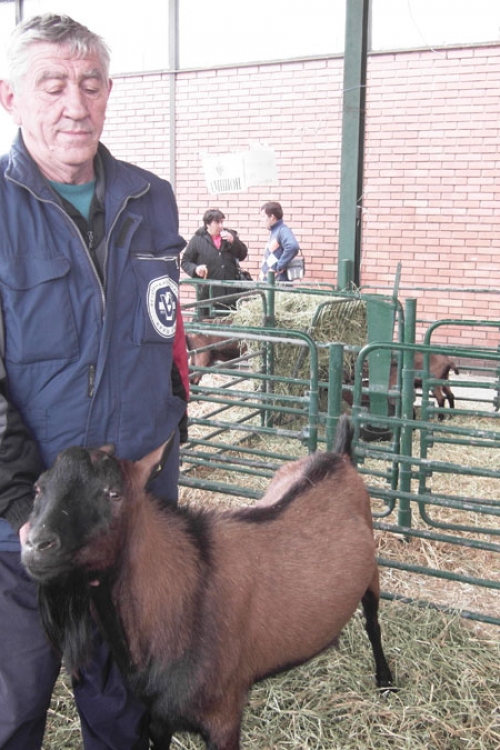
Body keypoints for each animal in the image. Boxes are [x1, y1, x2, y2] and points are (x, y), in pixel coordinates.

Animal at [21, 417, 394, 750]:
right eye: (39, 488)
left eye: (113, 493)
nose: (36, 544)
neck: (184, 591)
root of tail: (338, 457)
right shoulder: (158, 716)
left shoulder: (223, 717)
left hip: (372, 575)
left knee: (373, 623)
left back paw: (385, 680)